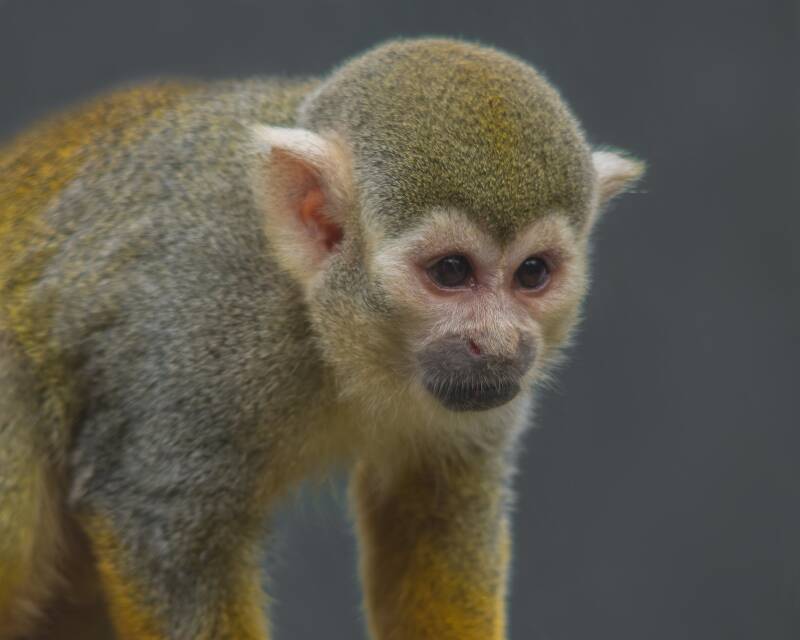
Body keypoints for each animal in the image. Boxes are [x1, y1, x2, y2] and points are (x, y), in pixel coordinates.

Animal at [0, 38, 644, 640]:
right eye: (451, 271)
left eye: (532, 273)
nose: (502, 345)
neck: (320, 316)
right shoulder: (203, 324)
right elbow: (163, 529)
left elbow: (439, 509)